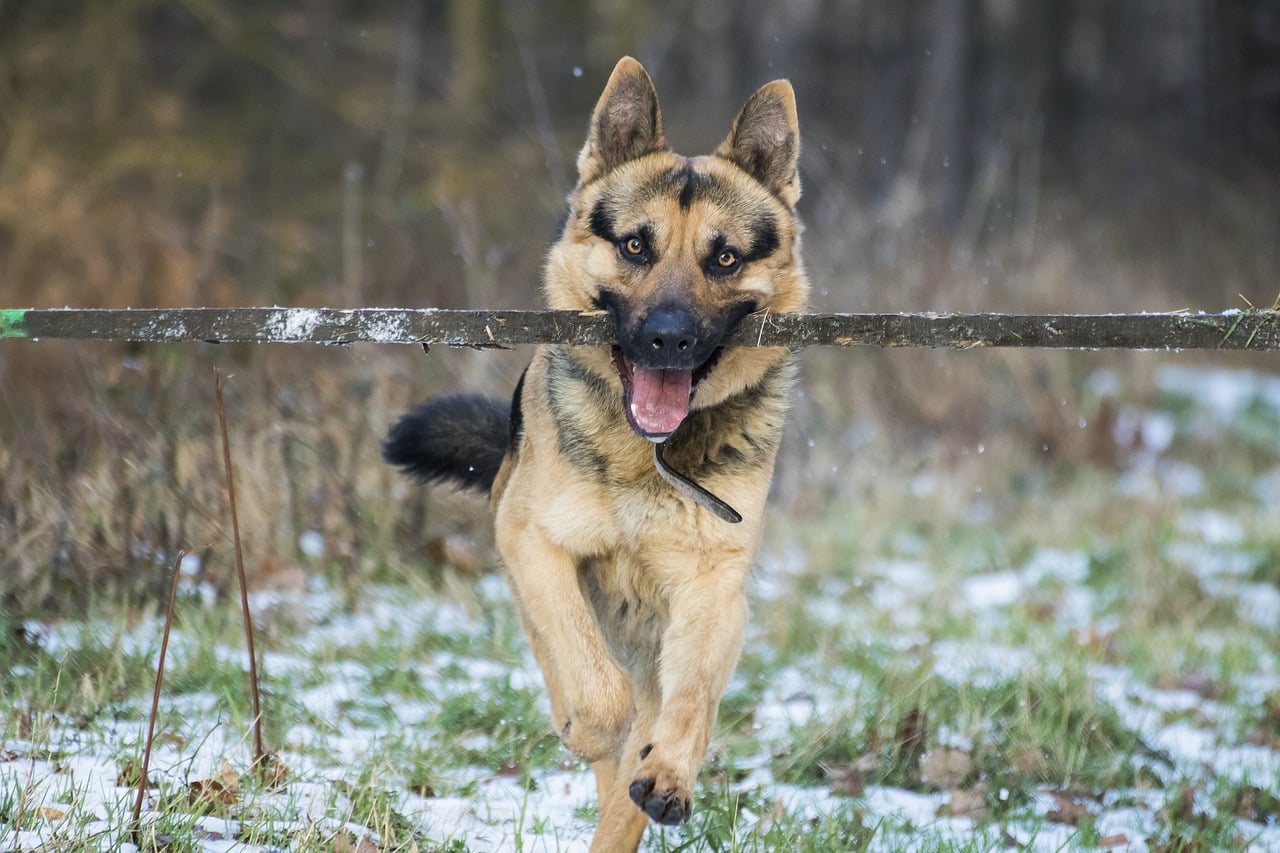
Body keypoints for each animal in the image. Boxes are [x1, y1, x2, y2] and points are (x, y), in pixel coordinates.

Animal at [381, 56, 808, 845]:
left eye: (724, 258)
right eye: (636, 245)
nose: (668, 337)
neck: (648, 457)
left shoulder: (713, 590)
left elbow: (691, 701)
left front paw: (668, 772)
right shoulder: (534, 542)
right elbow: (592, 683)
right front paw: (588, 727)